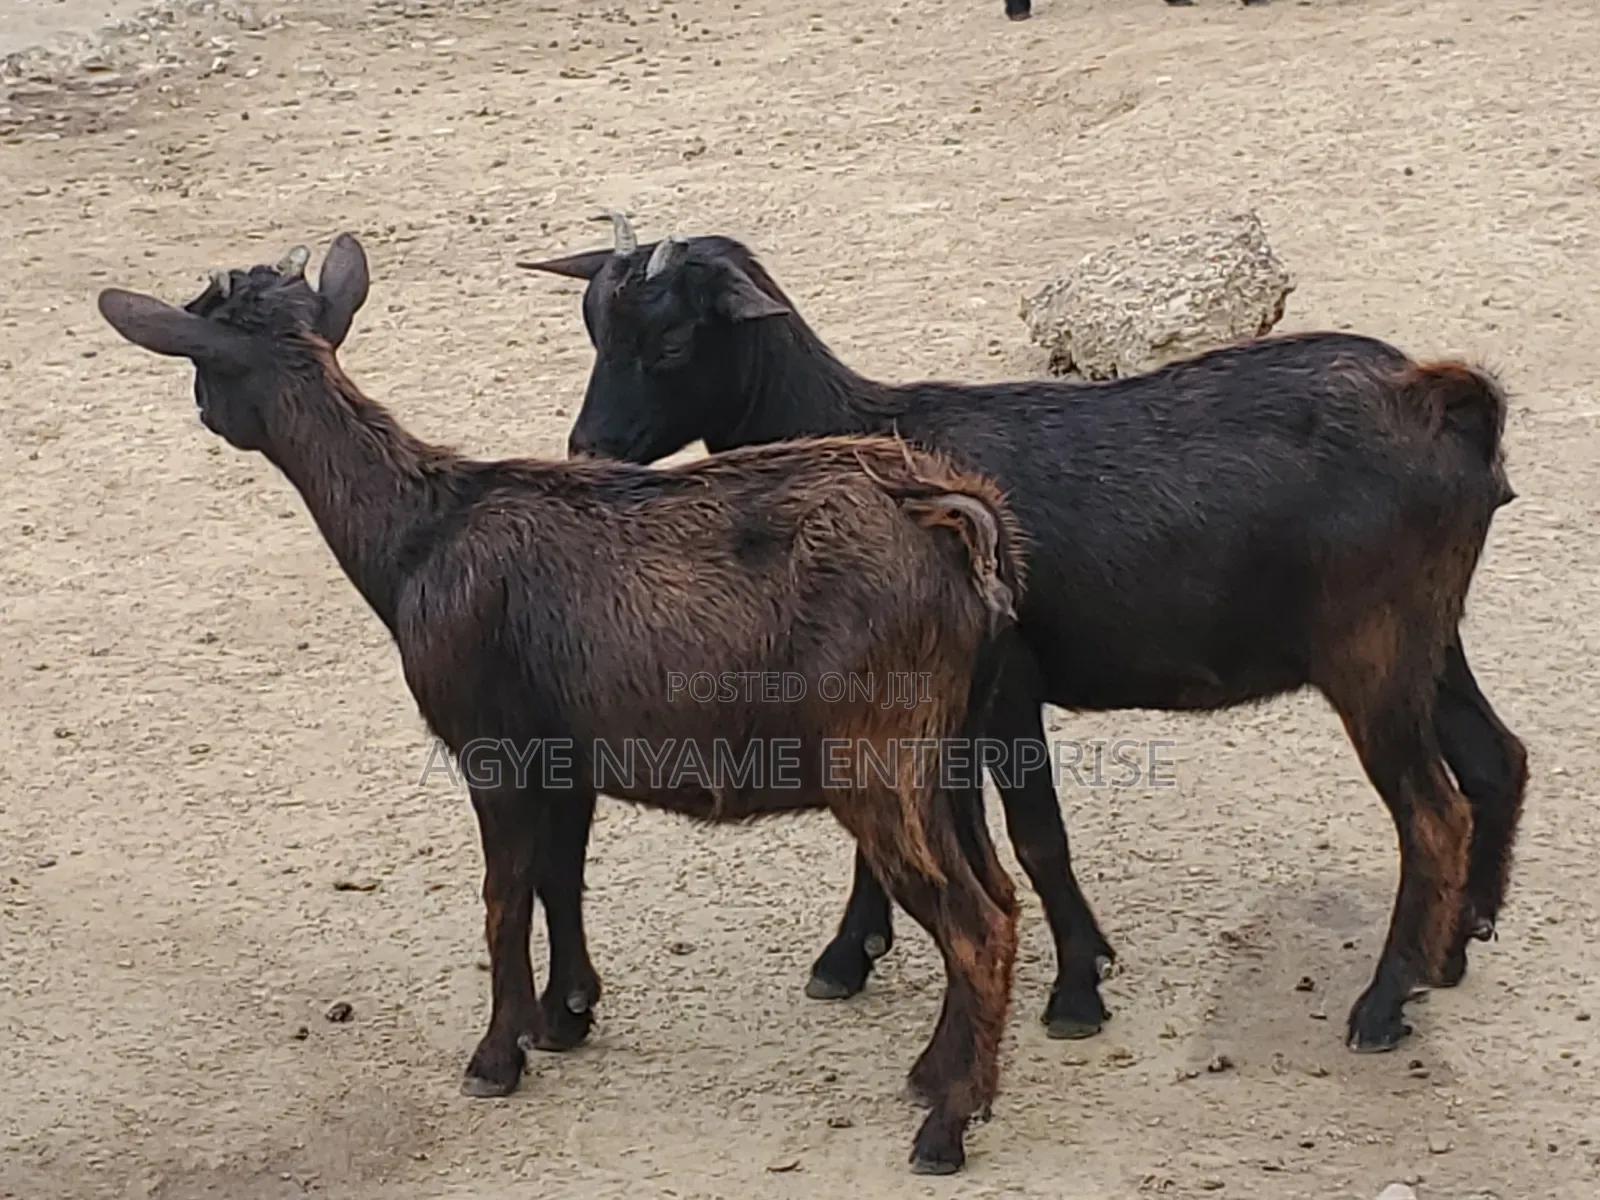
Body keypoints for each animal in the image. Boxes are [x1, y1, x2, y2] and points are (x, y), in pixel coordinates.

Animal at [96, 233, 1033, 1175]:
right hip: (952, 747)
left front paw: (496, 1056)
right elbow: (561, 875)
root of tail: (957, 523)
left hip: (876, 756)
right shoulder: (563, 753)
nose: (202, 411)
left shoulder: (490, 747)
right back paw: (943, 1078)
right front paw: (566, 1014)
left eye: (204, 348)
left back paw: (945, 1127)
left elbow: (503, 897)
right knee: (999, 893)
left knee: (976, 923)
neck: (419, 535)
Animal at [518, 214, 1527, 1056]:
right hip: (1430, 635)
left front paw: (1077, 989)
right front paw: (851, 954)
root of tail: (1433, 395)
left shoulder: (1006, 686)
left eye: (671, 339)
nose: (589, 449)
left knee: (1433, 814)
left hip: (1373, 652)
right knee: (1496, 757)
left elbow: (1039, 833)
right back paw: (1453, 949)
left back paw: (1384, 1003)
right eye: (593, 331)